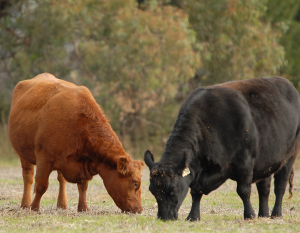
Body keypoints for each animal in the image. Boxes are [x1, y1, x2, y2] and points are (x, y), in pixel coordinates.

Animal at [8, 73, 145, 213]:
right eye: (135, 183)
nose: (139, 209)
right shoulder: (44, 158)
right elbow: (41, 185)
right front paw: (34, 207)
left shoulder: (83, 164)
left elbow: (83, 186)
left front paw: (83, 207)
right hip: (24, 154)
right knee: (28, 177)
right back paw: (25, 204)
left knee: (61, 180)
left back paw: (62, 204)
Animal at [145, 76, 300, 220]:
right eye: (152, 190)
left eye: (173, 190)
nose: (164, 217)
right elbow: (196, 191)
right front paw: (193, 217)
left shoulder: (245, 162)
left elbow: (243, 191)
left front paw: (249, 215)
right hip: (266, 161)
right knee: (264, 188)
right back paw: (263, 214)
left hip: (290, 156)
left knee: (280, 186)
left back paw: (276, 214)